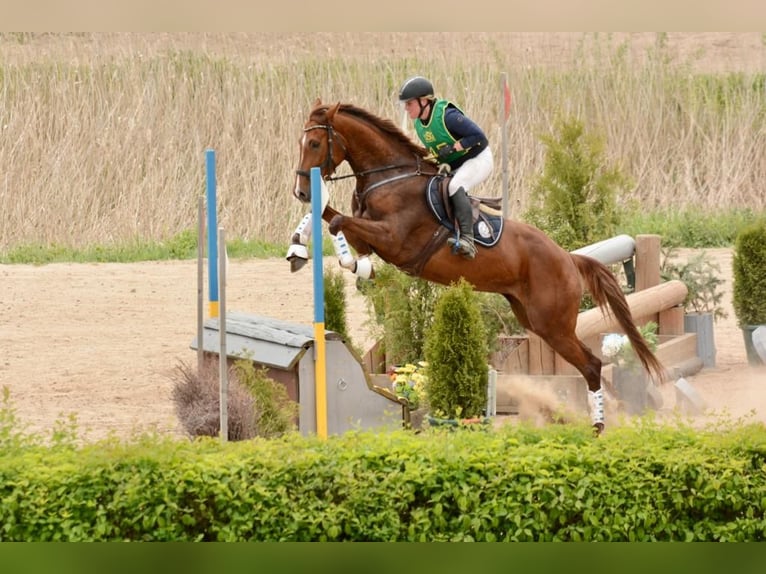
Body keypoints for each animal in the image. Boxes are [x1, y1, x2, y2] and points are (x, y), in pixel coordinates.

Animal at [294, 99, 664, 434]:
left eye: (314, 144)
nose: (300, 191)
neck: (389, 179)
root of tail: (568, 258)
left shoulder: (395, 240)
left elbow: (337, 222)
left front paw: (354, 266)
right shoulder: (370, 235)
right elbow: (328, 214)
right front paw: (301, 249)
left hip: (554, 324)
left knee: (591, 364)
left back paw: (599, 426)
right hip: (533, 318)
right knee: (589, 363)